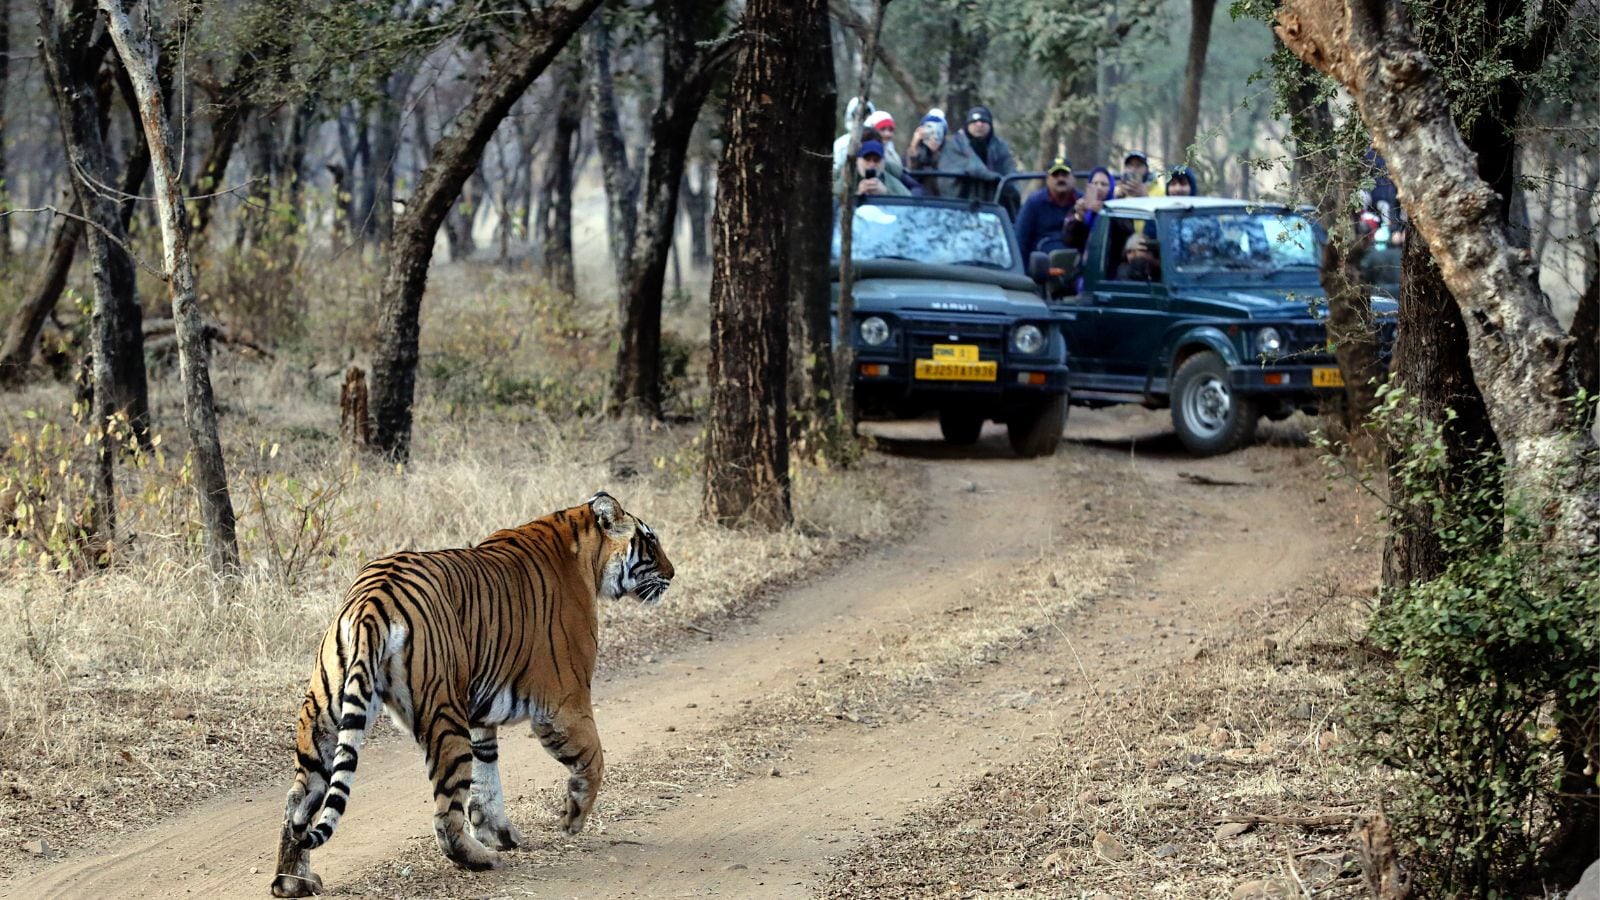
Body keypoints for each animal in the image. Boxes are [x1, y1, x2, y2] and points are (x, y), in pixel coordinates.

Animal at [270, 492, 673, 897]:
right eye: (650, 540)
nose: (671, 575)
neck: (582, 545)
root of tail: (372, 599)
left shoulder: (480, 712)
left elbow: (486, 777)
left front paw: (500, 832)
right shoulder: (565, 702)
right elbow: (594, 758)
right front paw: (572, 819)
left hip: (324, 715)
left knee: (298, 801)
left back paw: (292, 881)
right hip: (445, 717)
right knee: (445, 814)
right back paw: (481, 859)